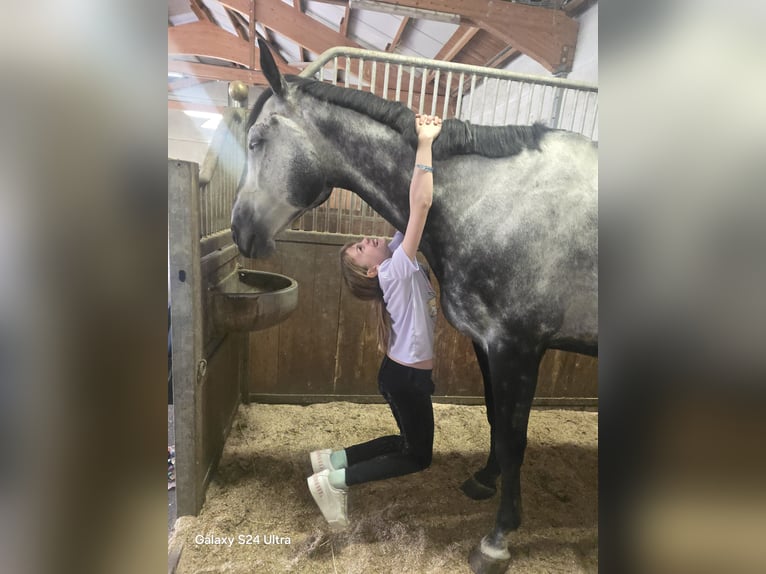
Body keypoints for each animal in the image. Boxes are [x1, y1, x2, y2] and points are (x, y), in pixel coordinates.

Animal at [231, 40, 598, 574]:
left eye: (257, 140)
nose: (239, 231)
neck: (490, 199)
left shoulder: (518, 347)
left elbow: (514, 440)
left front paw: (497, 539)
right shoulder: (487, 343)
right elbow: (496, 421)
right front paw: (483, 482)